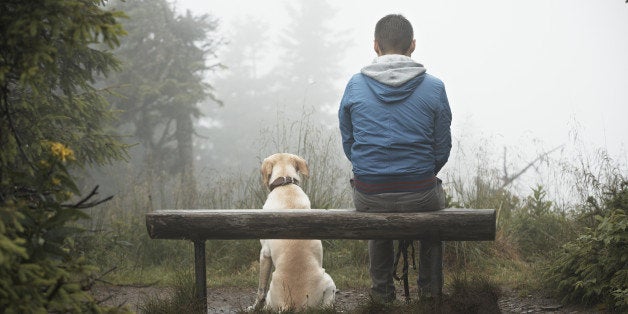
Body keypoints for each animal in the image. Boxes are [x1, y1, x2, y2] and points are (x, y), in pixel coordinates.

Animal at [251, 153, 336, 310]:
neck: (285, 185)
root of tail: (291, 304)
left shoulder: (264, 253)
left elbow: (260, 289)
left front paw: (254, 307)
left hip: (328, 279)